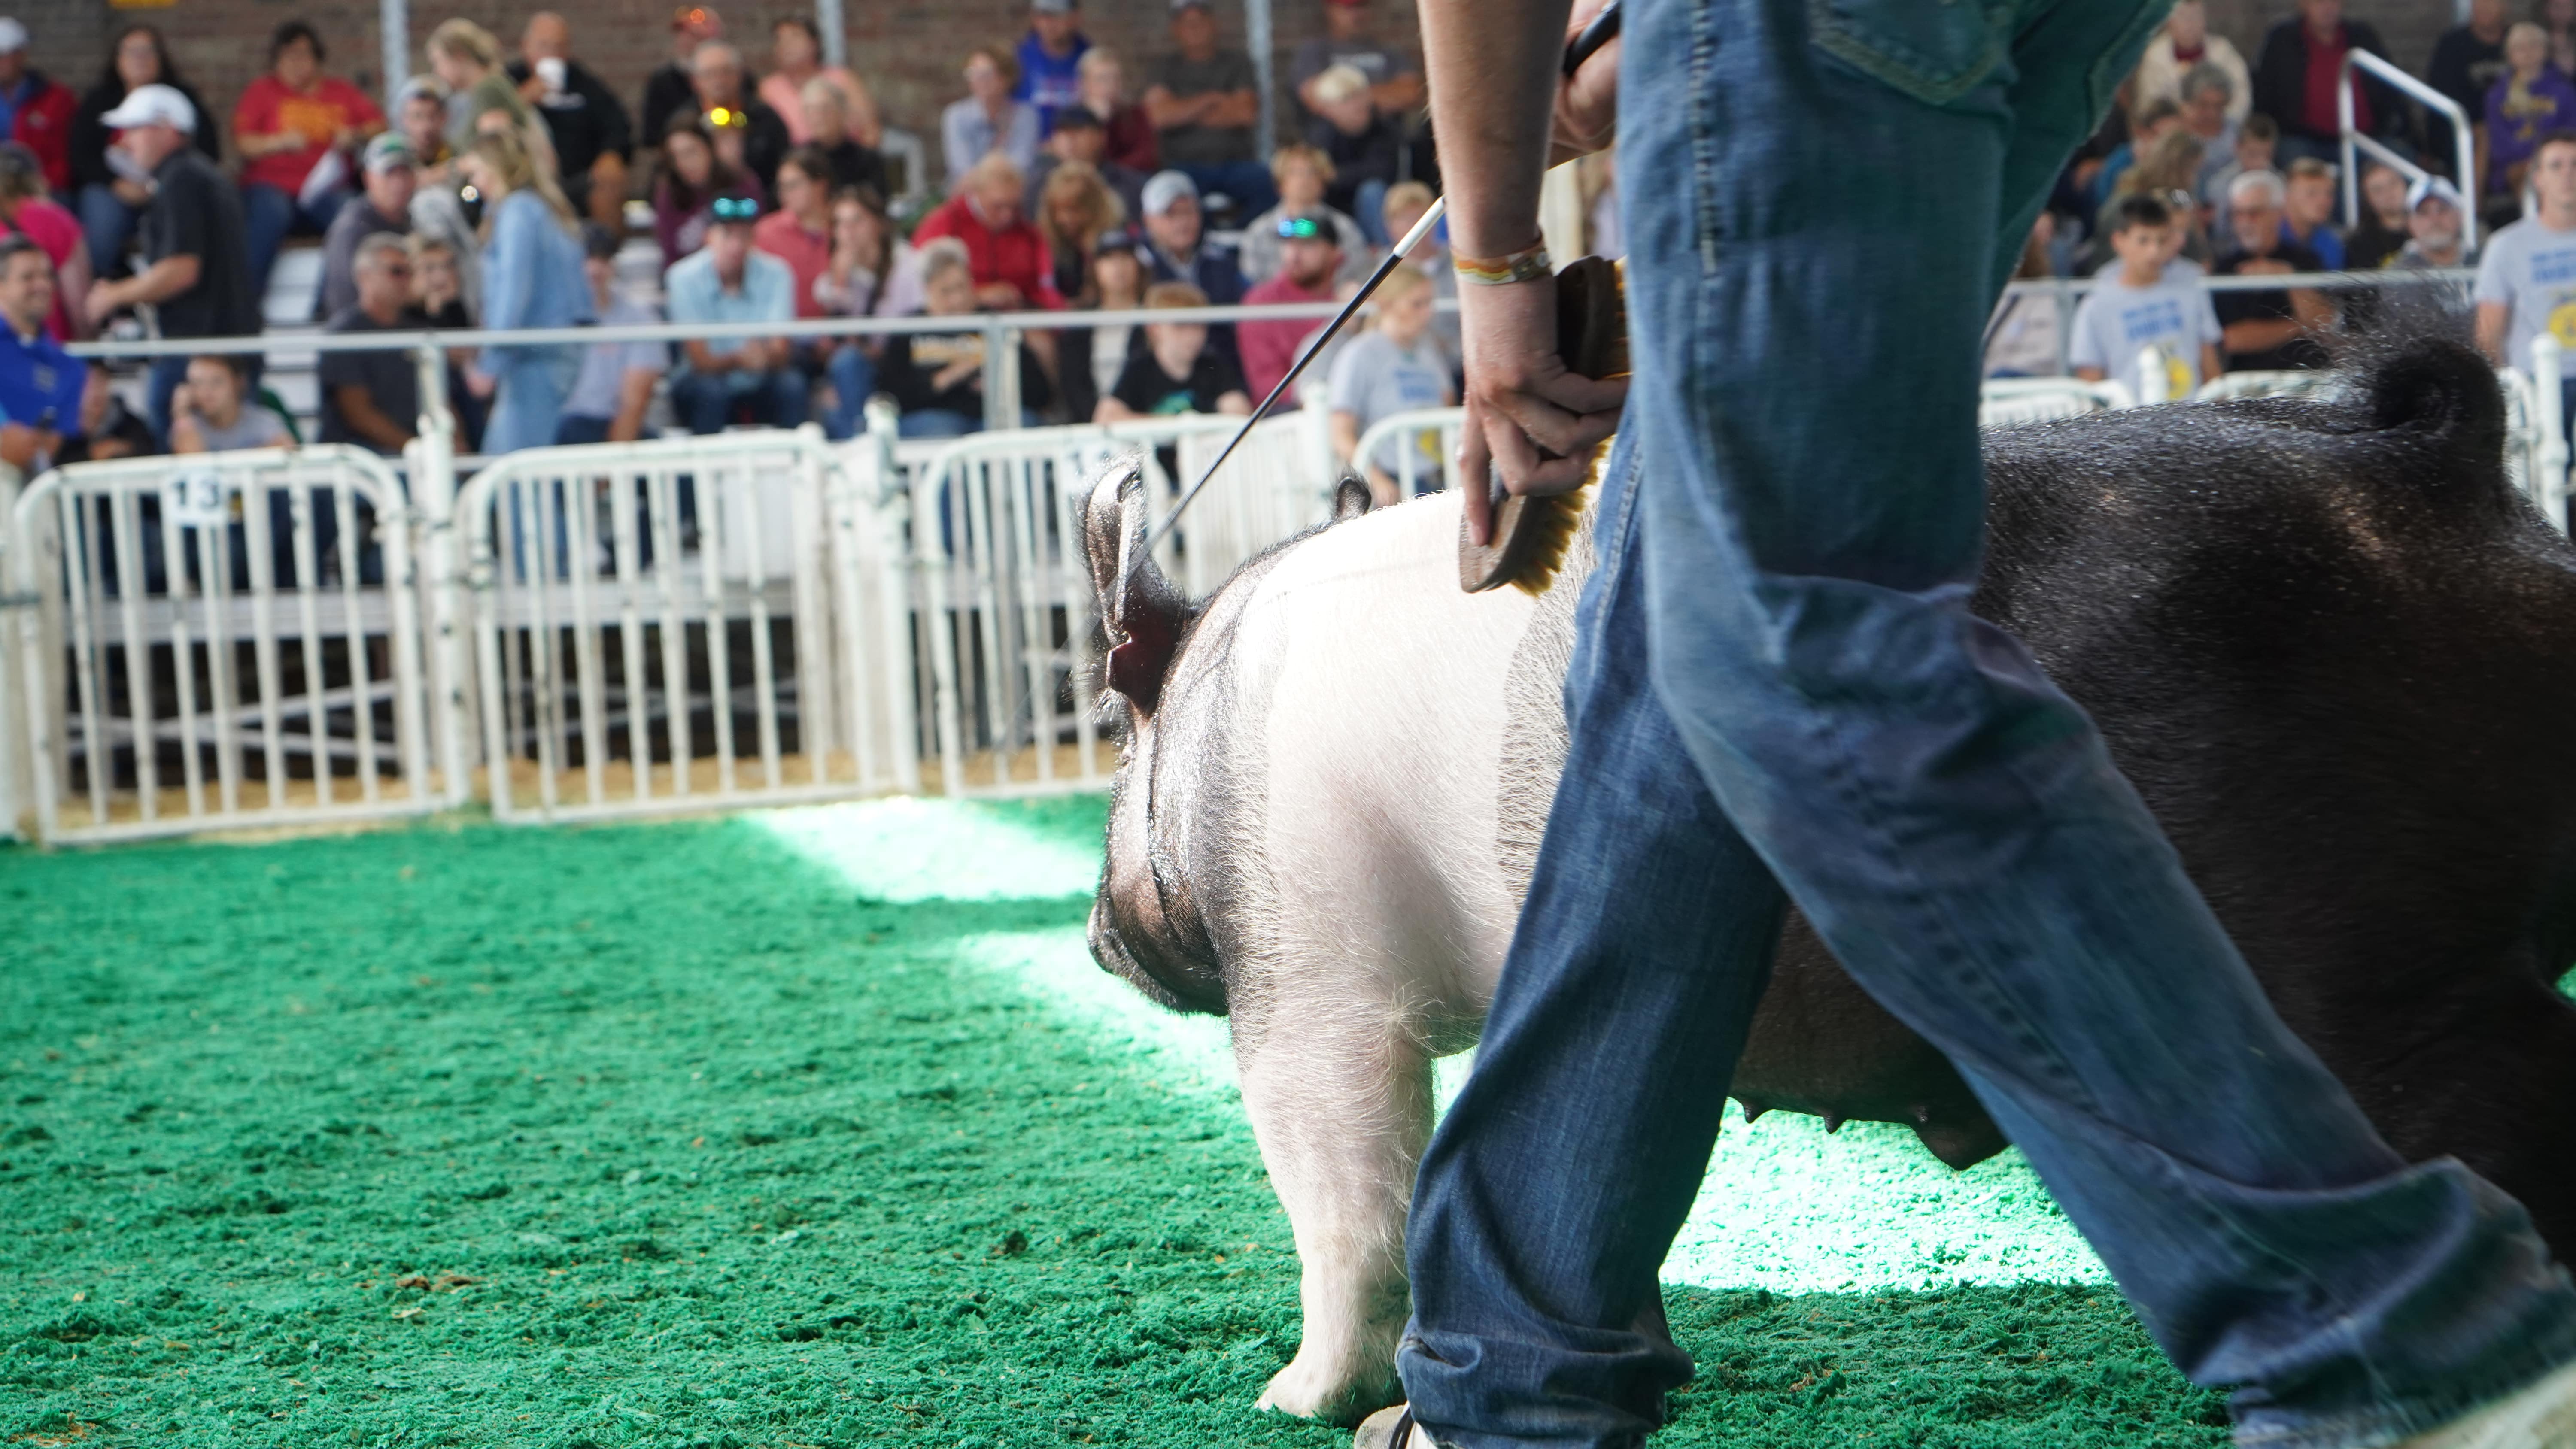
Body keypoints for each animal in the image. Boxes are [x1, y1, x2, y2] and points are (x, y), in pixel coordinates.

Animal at [1077, 332, 2576, 1431]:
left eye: (1111, 737)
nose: (1088, 936)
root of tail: (2430, 467)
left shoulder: (1312, 995)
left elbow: (1345, 1203)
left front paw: (1293, 1401)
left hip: (2370, 980)